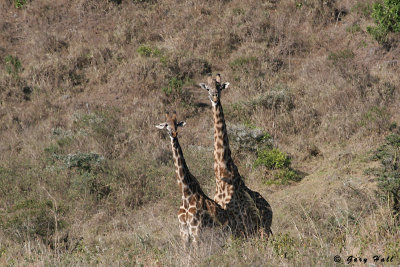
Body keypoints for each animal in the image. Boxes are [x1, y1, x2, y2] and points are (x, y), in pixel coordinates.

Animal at [154, 112, 234, 246]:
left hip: (222, 233)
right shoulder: (184, 232)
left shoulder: (196, 230)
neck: (186, 193)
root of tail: (226, 215)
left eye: (176, 124)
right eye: (166, 125)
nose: (173, 133)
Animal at [199, 74, 274, 238]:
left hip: (261, 229)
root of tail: (269, 208)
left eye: (220, 87)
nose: (214, 97)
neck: (222, 171)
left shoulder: (240, 222)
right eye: (207, 88)